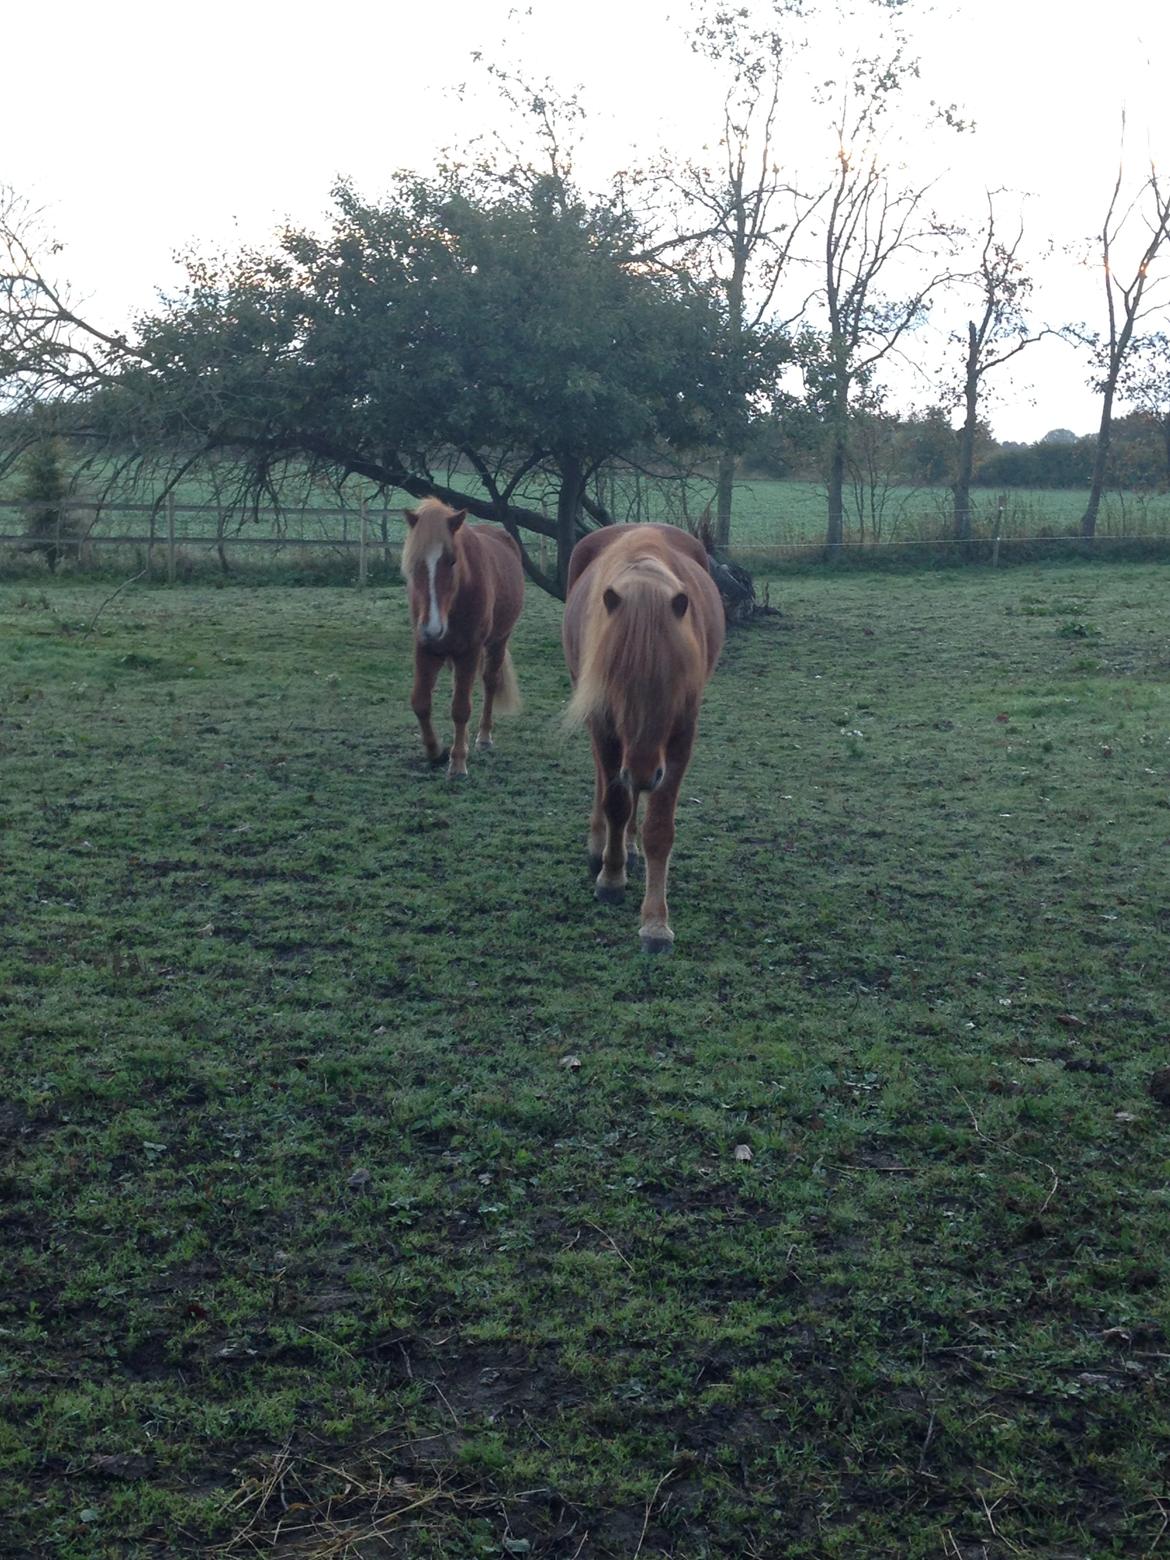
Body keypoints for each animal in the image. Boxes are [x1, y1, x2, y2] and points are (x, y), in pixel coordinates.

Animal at [408, 496, 527, 776]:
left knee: (490, 682)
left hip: (497, 642)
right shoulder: (426, 649)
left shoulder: (470, 651)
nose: (433, 628)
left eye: (451, 561)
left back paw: (483, 738)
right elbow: (421, 702)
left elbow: (461, 709)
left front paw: (458, 762)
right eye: (416, 562)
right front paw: (435, 752)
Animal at [561, 524, 723, 948]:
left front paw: (655, 923)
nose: (644, 773)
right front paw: (611, 878)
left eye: (674, 684)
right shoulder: (605, 724)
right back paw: (601, 846)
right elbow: (616, 802)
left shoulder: (679, 739)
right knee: (605, 782)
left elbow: (659, 829)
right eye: (616, 684)